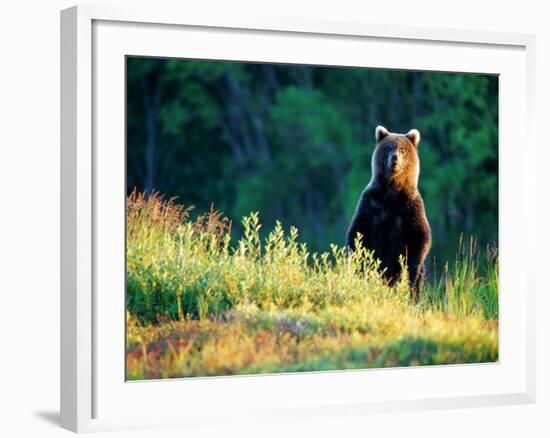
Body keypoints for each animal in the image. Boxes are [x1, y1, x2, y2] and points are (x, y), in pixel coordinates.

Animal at [348, 125, 434, 300]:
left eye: (402, 149)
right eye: (388, 148)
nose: (394, 158)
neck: (391, 193)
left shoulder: (410, 207)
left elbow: (420, 237)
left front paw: (410, 274)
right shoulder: (371, 204)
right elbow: (358, 231)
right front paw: (354, 260)